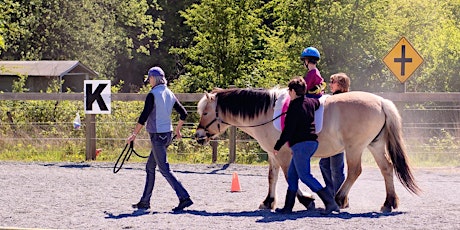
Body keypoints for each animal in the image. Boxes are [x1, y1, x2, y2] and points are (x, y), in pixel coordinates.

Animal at [194, 87, 420, 213]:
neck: (269, 113)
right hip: (375, 145)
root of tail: (381, 101)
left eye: (205, 112)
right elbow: (272, 177)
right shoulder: (273, 154)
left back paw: (338, 199)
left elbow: (290, 177)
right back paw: (388, 203)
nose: (198, 136)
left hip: (354, 148)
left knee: (355, 171)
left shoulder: (284, 154)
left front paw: (306, 200)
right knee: (387, 168)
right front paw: (268, 202)